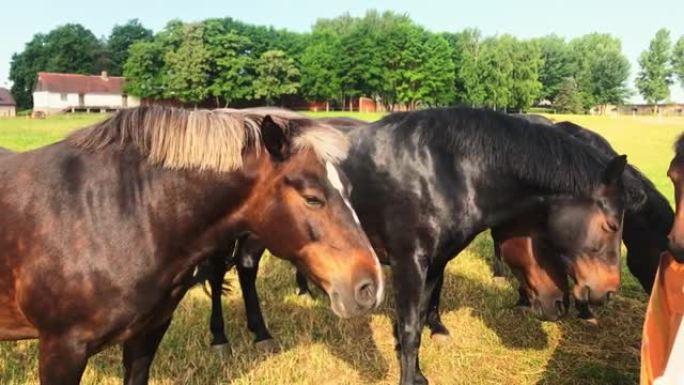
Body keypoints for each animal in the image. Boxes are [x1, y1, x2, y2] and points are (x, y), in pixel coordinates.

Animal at [200, 106, 644, 382]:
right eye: (610, 225)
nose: (604, 291)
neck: (446, 167)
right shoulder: (409, 261)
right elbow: (412, 326)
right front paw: (410, 374)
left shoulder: (432, 262)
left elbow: (419, 313)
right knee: (231, 271)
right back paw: (230, 337)